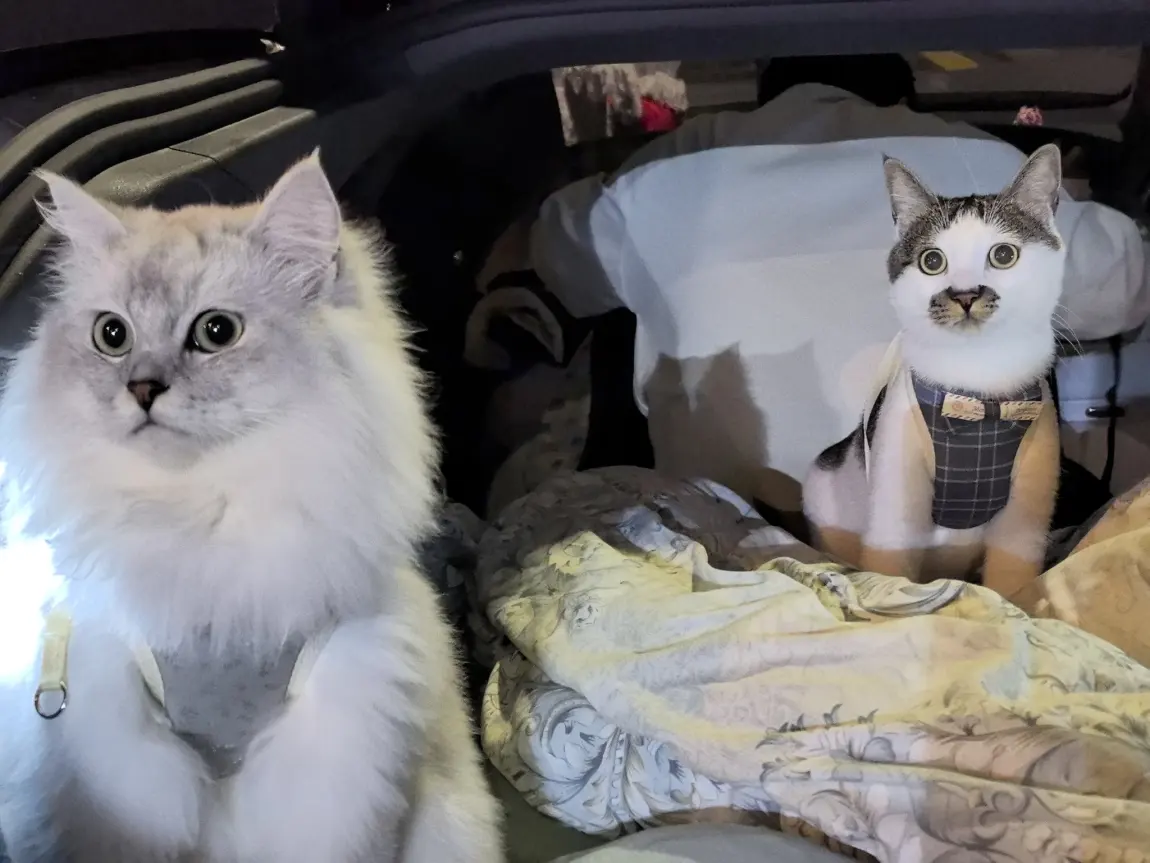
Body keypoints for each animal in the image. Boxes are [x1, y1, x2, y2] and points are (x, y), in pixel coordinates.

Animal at [0, 156, 503, 863]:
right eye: (111, 336)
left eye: (217, 332)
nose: (142, 389)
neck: (197, 511)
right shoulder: (125, 763)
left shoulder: (336, 765)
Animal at [803, 144, 1064, 599]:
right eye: (932, 261)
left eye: (1003, 255)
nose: (965, 294)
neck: (977, 388)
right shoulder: (895, 499)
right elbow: (889, 569)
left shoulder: (1025, 519)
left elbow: (1012, 581)